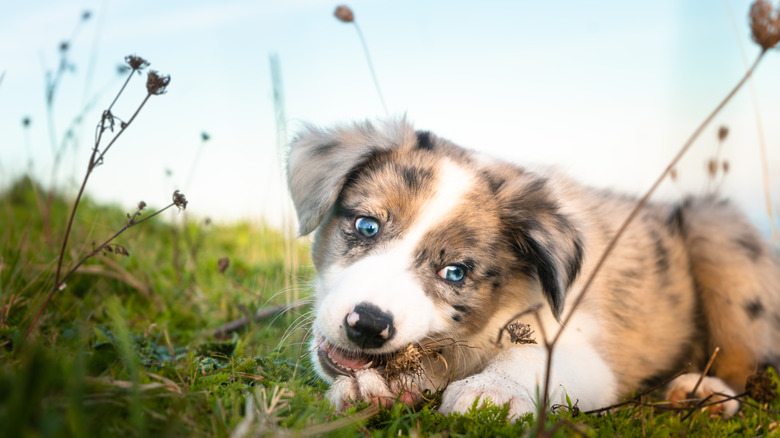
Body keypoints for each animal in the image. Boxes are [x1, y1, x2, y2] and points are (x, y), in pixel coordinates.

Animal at [286, 118, 780, 420]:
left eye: (455, 273)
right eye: (367, 226)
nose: (368, 325)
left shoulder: (584, 351)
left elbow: (530, 357)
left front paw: (491, 391)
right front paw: (371, 387)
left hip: (716, 230)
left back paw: (702, 392)